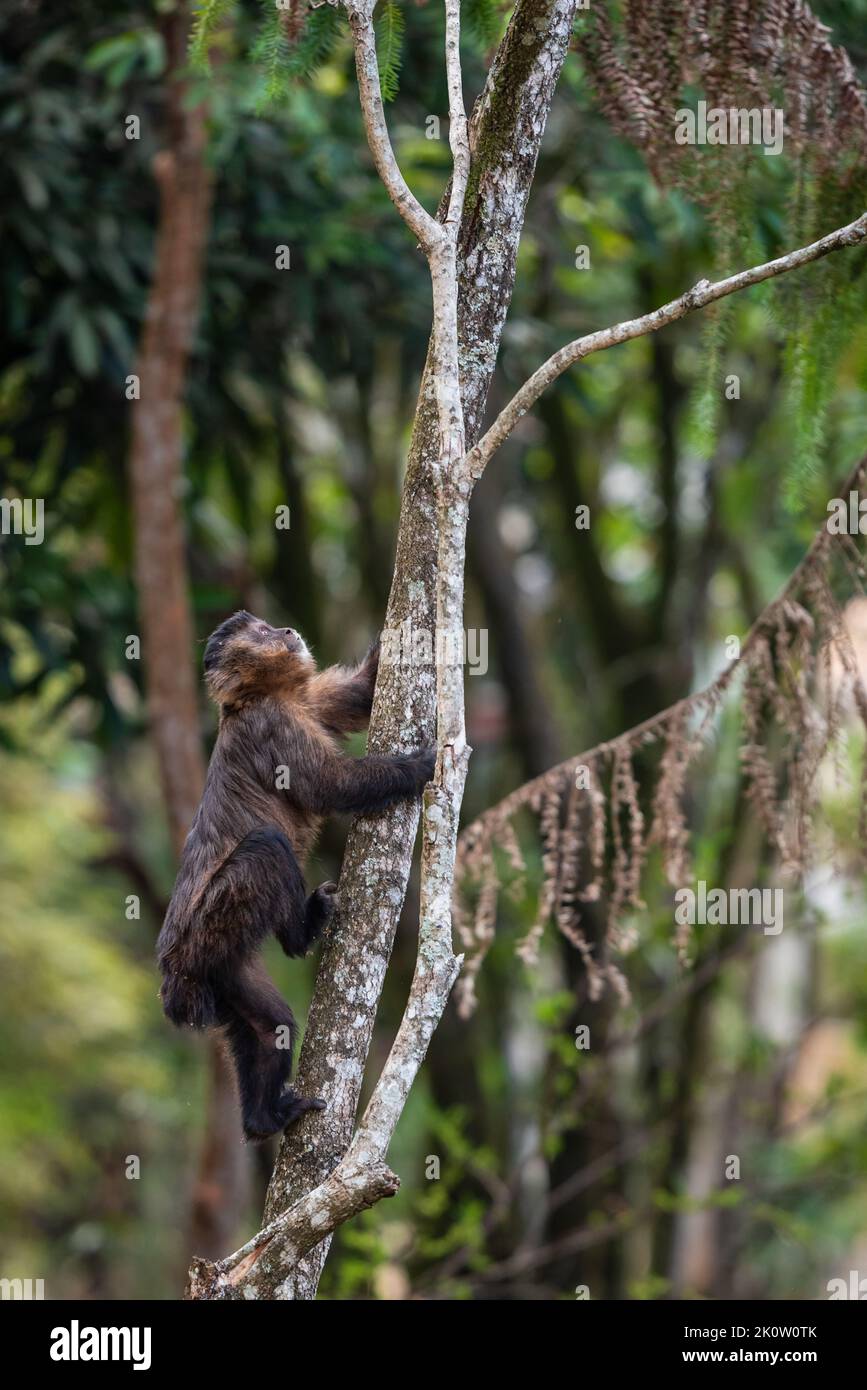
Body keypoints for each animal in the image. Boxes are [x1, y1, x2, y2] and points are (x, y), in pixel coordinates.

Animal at [155, 614, 433, 1145]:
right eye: (262, 634)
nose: (285, 630)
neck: (262, 696)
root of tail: (173, 973)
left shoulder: (305, 702)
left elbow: (359, 696)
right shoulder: (274, 725)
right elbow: (333, 786)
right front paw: (412, 768)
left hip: (224, 970)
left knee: (270, 1027)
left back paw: (263, 1119)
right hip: (210, 926)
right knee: (268, 846)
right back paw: (300, 935)